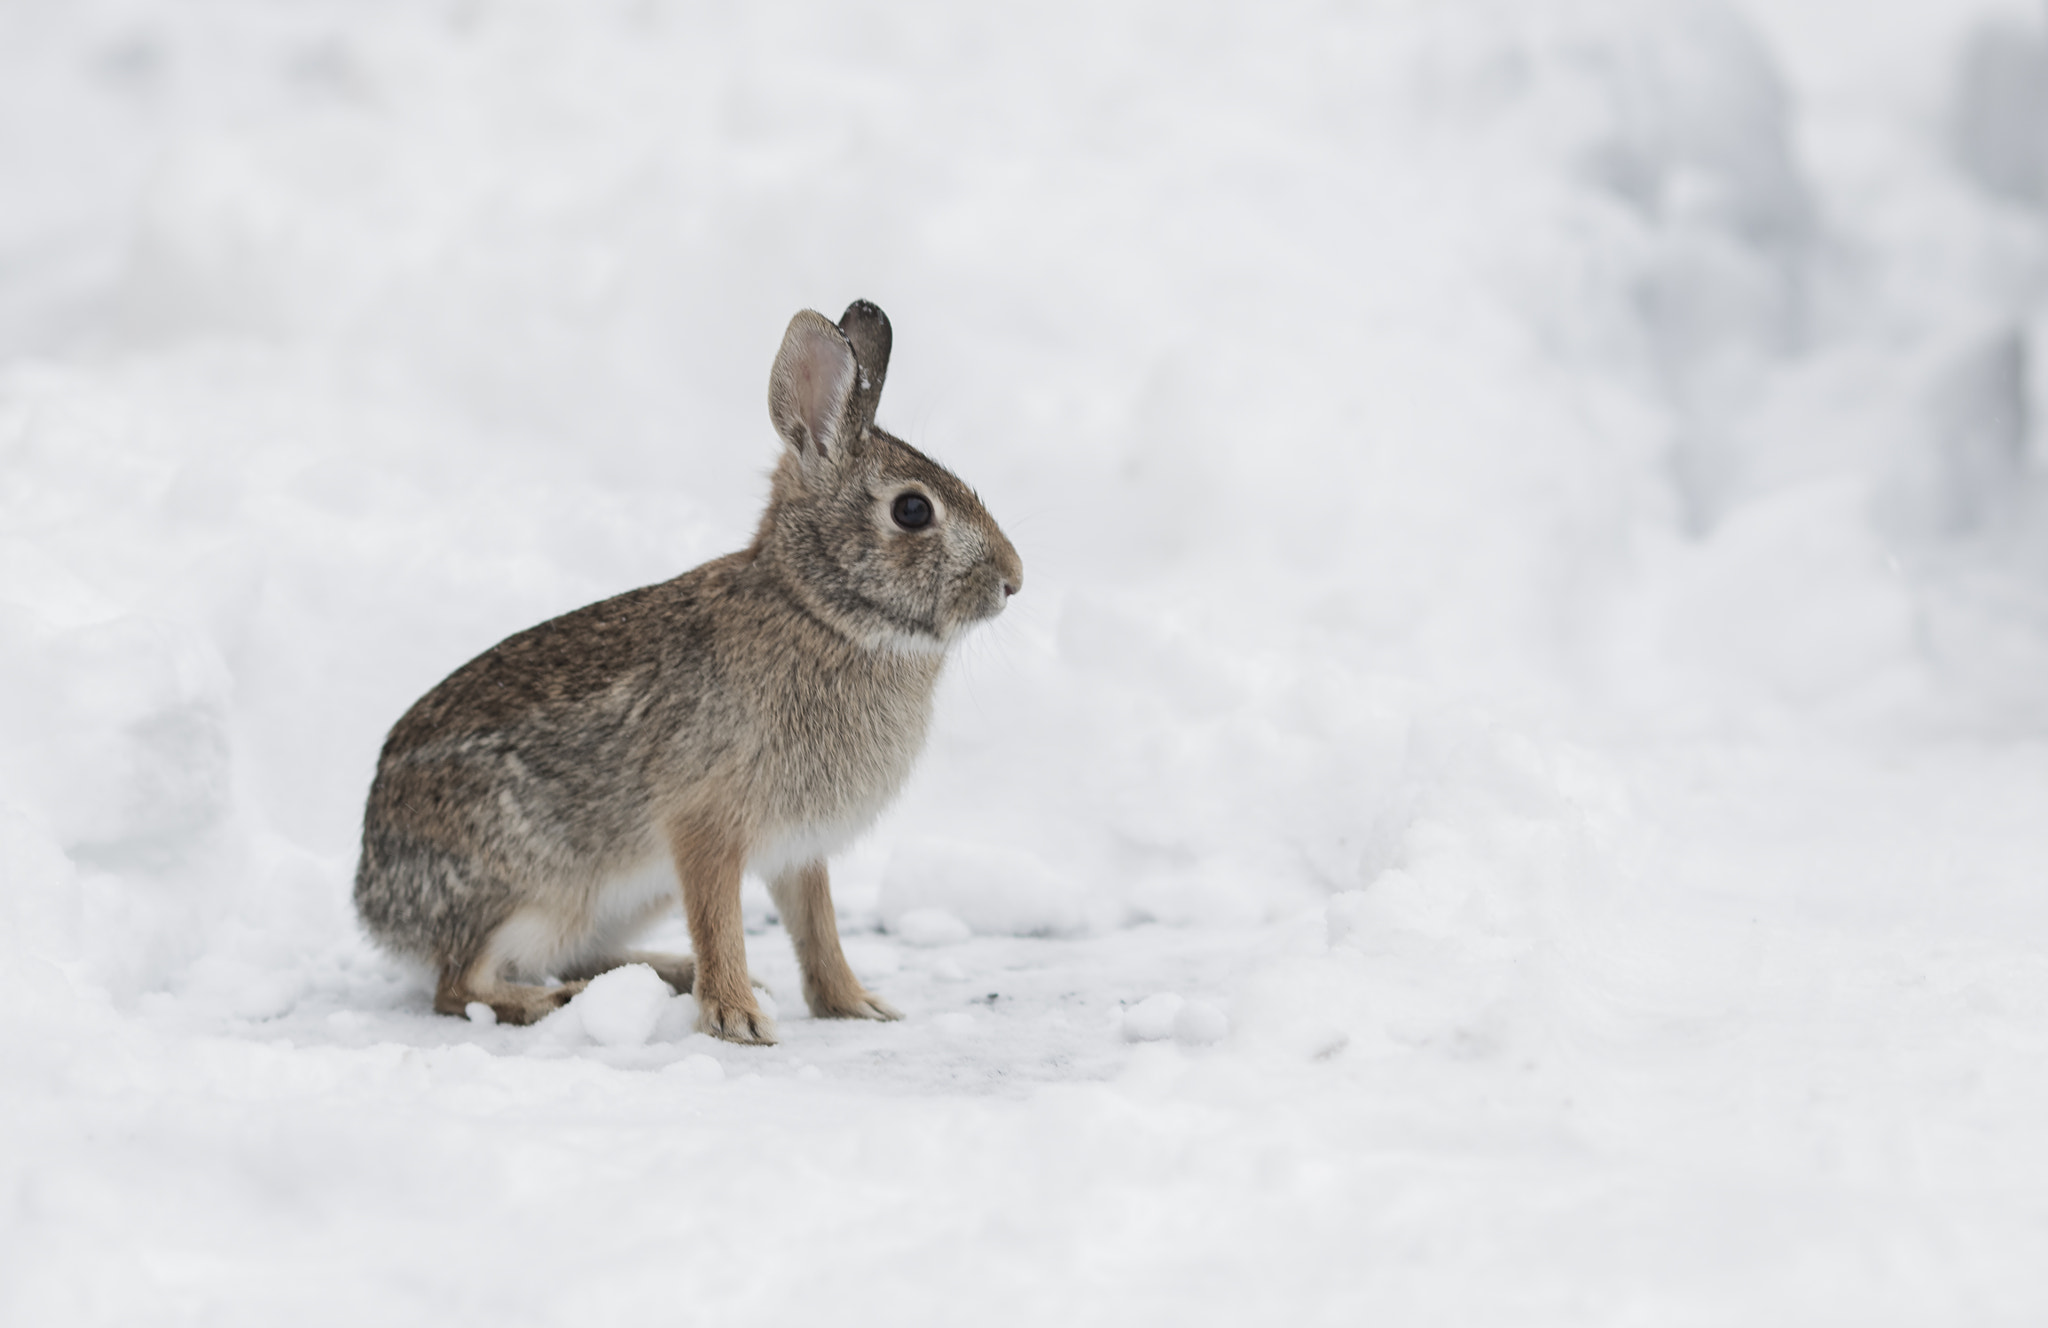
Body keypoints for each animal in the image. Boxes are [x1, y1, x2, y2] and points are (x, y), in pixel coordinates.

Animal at [356, 303, 1024, 1049]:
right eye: (912, 510)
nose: (1013, 580)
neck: (821, 612)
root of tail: (373, 899)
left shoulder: (797, 850)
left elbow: (817, 928)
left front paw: (856, 1005)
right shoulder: (704, 824)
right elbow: (719, 920)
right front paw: (738, 1019)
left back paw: (663, 973)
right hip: (532, 894)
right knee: (459, 986)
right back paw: (554, 1002)